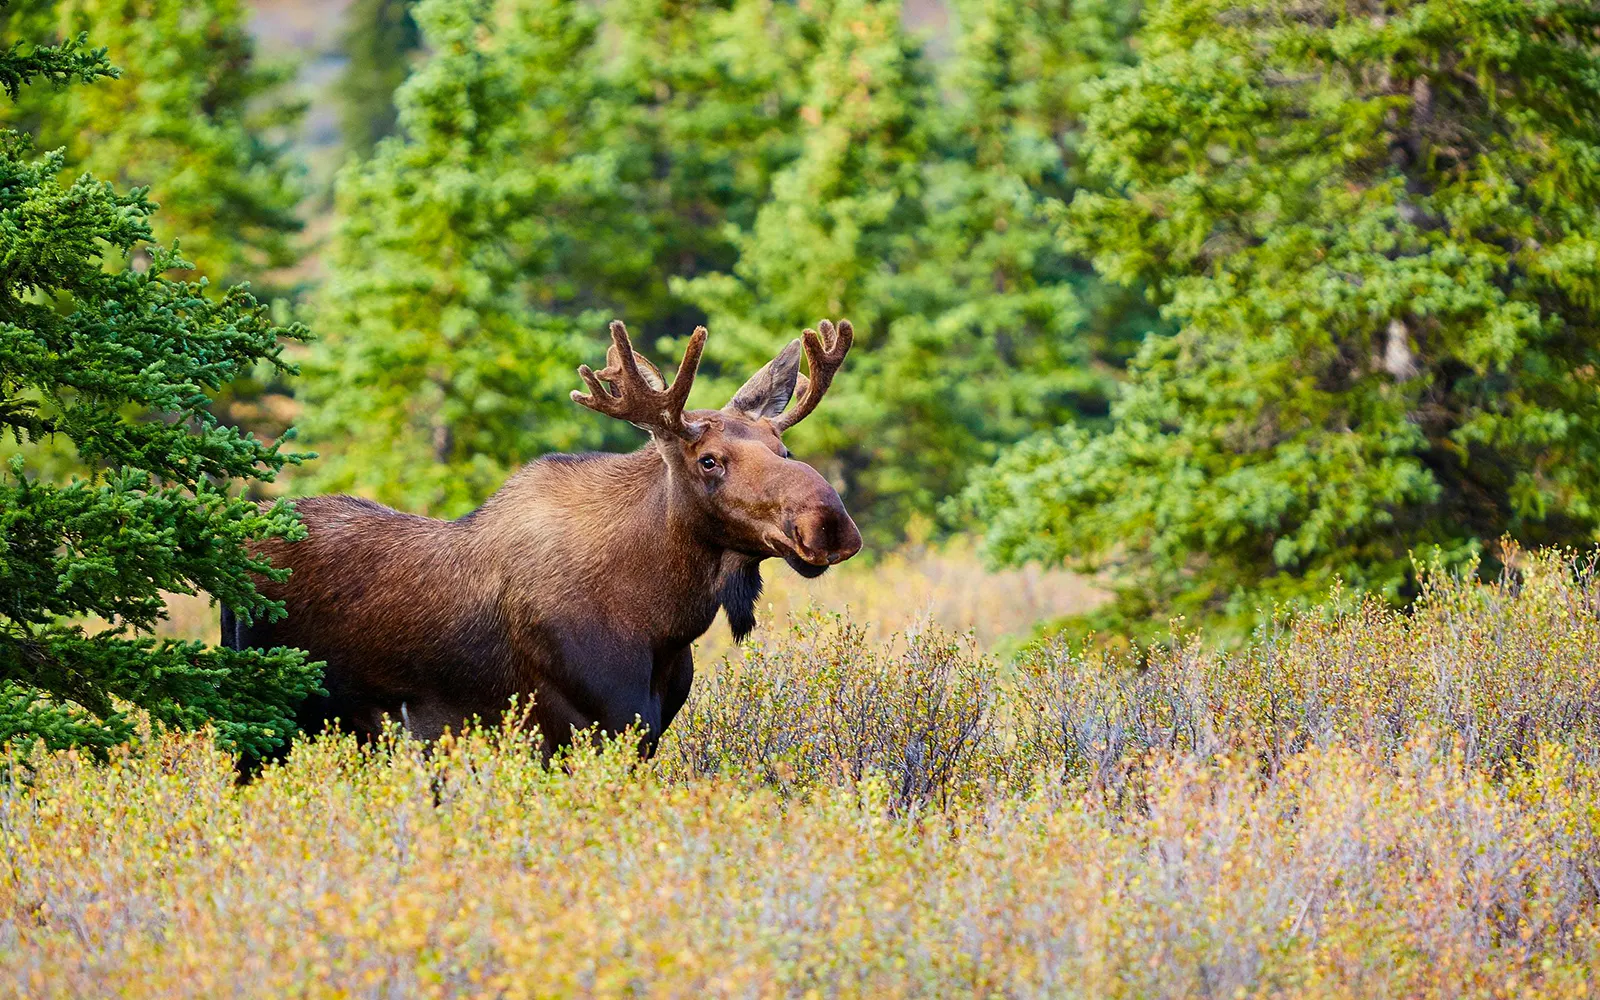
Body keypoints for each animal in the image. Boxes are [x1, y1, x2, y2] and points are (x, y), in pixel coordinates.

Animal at [224, 319, 861, 760]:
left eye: (784, 449)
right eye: (709, 460)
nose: (829, 523)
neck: (662, 619)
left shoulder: (645, 733)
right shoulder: (581, 727)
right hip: (262, 718)